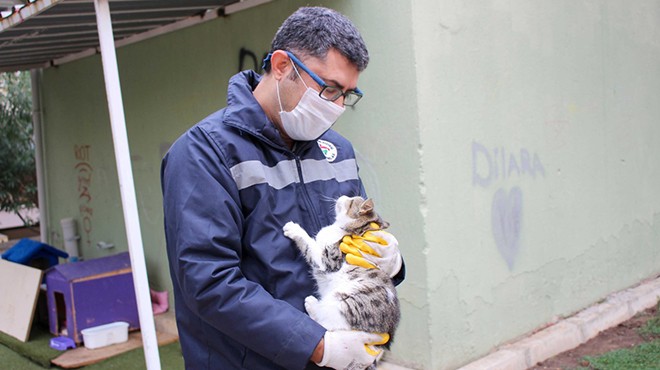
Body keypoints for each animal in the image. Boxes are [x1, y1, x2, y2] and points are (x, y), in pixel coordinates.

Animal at [282, 195, 400, 368]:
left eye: (351, 201)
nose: (343, 196)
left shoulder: (328, 261)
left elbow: (310, 245)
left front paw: (294, 228)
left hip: (343, 302)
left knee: (326, 324)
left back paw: (312, 305)